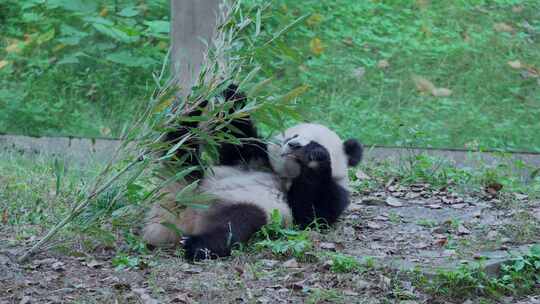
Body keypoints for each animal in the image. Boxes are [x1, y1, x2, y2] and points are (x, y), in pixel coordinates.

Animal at [143, 84, 362, 260]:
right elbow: (236, 134)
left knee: (235, 225)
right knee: (180, 147)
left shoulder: (333, 191)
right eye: (292, 136)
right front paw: (231, 93)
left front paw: (315, 157)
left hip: (249, 206)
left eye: (313, 141)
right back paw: (194, 106)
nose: (293, 145)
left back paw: (197, 246)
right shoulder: (254, 158)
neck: (283, 175)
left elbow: (311, 214)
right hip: (192, 177)